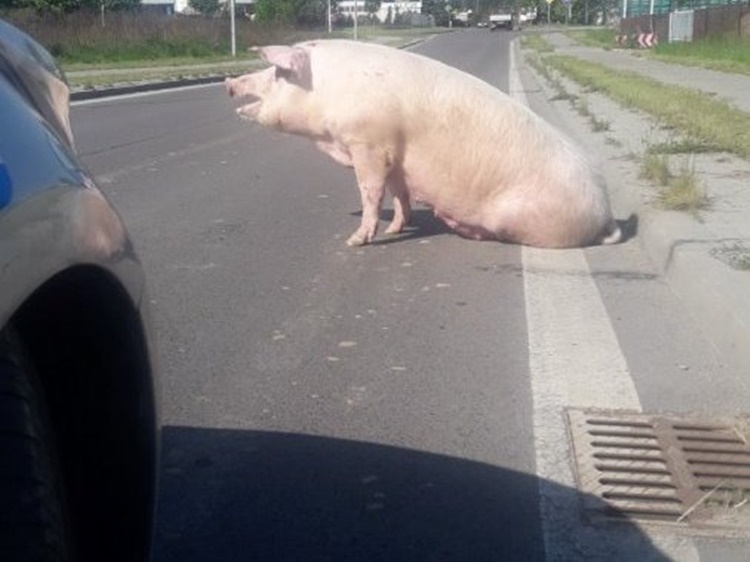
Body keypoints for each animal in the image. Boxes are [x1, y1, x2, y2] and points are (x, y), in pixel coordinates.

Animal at [225, 39, 624, 247]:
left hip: (525, 220)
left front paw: (356, 241)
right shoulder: (396, 155)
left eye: (278, 73)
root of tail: (605, 213)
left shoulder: (369, 142)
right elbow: (399, 194)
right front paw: (395, 229)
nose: (229, 82)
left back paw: (453, 222)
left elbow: (370, 192)